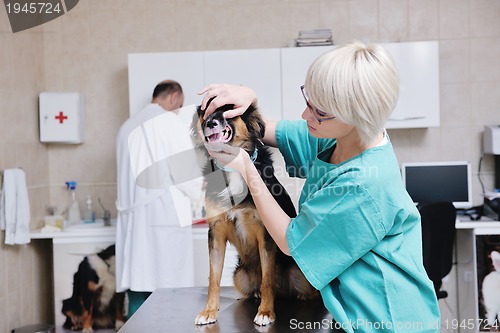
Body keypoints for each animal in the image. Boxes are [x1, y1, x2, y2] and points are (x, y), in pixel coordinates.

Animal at [193, 102, 318, 324]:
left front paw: (266, 312)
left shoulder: (265, 232)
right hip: (239, 276)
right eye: (206, 111)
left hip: (299, 272)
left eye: (228, 109)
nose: (210, 123)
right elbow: (213, 278)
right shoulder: (215, 231)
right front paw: (209, 311)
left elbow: (267, 278)